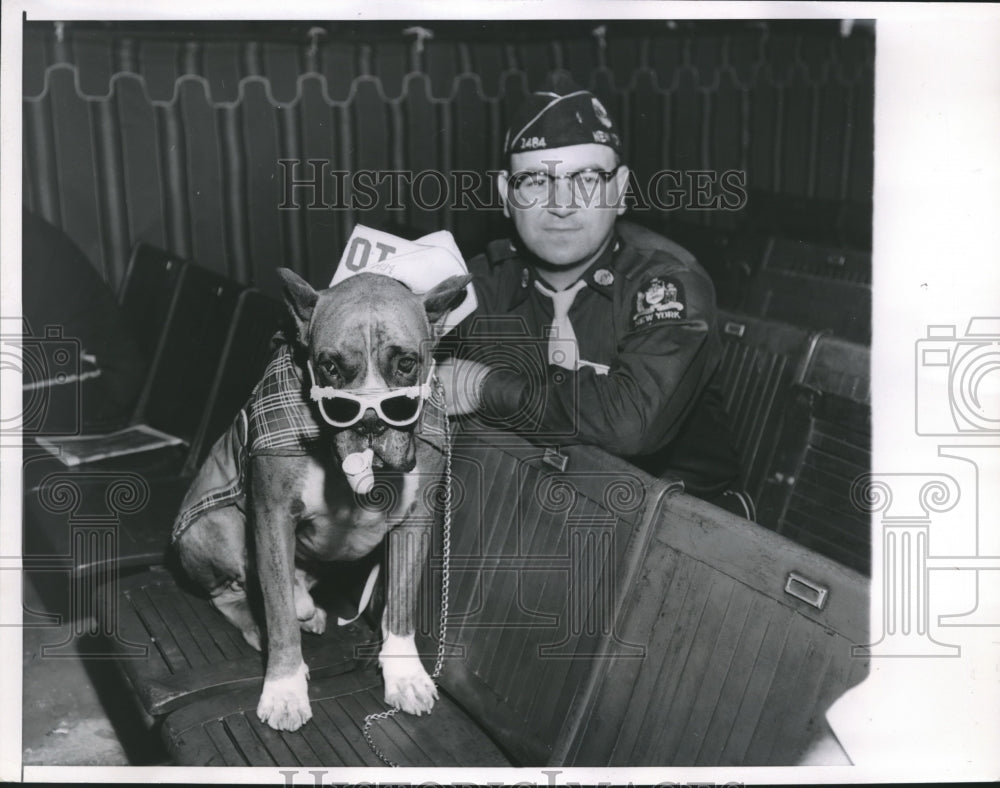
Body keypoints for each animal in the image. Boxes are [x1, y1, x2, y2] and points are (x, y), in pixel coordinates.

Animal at [174, 270, 470, 732]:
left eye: (406, 364)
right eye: (329, 366)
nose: (370, 421)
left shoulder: (415, 521)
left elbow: (401, 603)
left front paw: (404, 674)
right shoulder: (273, 516)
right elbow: (278, 616)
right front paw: (284, 688)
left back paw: (306, 606)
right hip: (214, 525)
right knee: (233, 594)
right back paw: (266, 622)